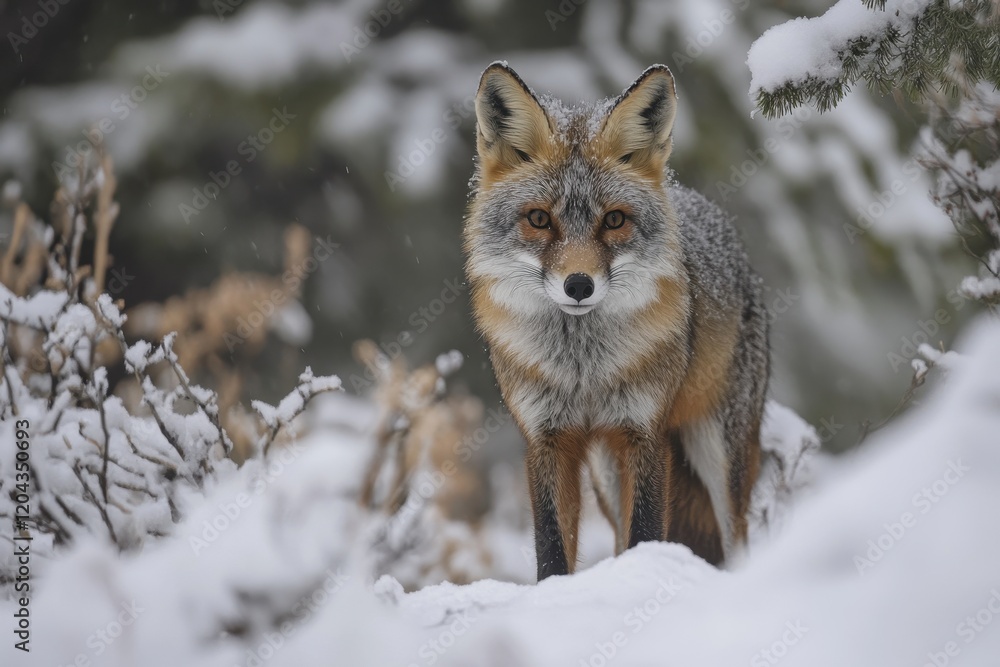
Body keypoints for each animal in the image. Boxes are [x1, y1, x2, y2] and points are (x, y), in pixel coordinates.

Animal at [463, 62, 769, 581]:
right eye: (539, 219)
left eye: (614, 220)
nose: (578, 285)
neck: (583, 371)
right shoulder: (547, 439)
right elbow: (552, 548)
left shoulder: (644, 433)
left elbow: (646, 530)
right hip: (607, 476)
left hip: (718, 450)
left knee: (737, 537)